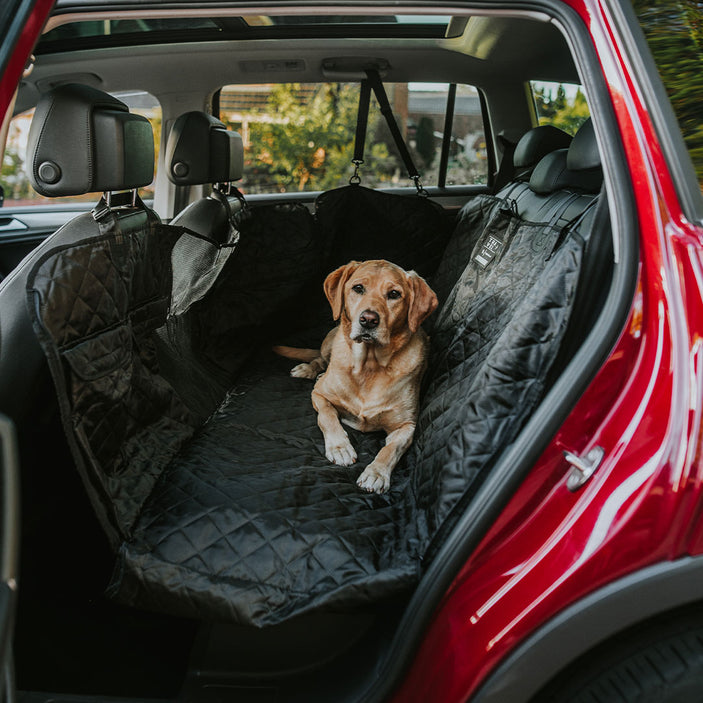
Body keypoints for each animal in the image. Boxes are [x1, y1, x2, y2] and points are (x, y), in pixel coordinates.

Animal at [274, 260, 434, 496]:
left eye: (394, 294)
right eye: (358, 288)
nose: (368, 320)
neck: (369, 365)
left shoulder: (406, 426)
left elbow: (390, 449)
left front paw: (376, 473)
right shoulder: (319, 395)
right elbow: (328, 416)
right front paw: (340, 447)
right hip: (329, 342)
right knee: (319, 359)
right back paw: (310, 370)